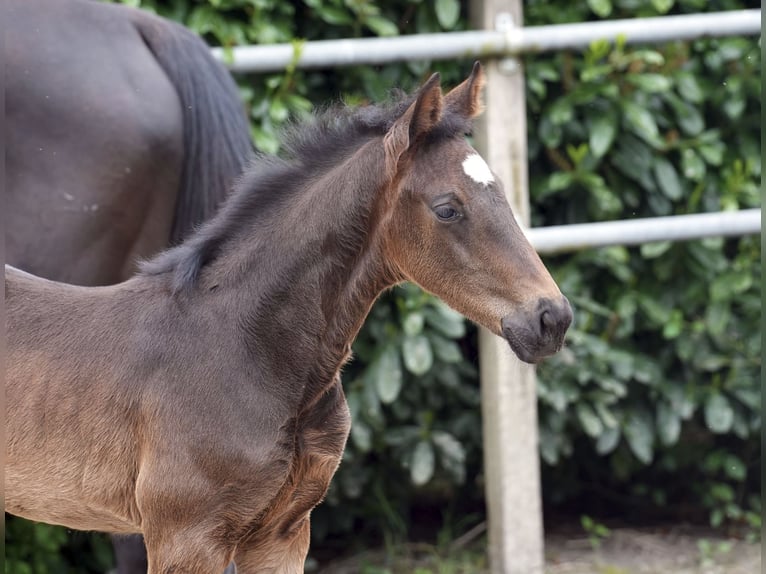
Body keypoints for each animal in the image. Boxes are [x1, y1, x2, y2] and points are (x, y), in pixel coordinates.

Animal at [4, 64, 568, 574]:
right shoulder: (185, 537)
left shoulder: (283, 534)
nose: (552, 318)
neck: (248, 348)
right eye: (447, 208)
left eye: (504, 194)